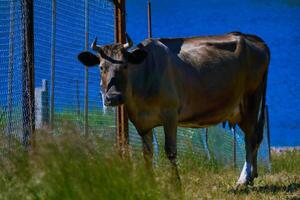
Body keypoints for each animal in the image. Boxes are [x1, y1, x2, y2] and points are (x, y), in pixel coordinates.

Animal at [77, 31, 270, 188]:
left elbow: (170, 151)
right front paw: (149, 182)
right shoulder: (140, 121)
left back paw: (243, 180)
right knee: (254, 136)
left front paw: (176, 184)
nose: (113, 97)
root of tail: (252, 38)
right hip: (238, 110)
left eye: (125, 65)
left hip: (251, 98)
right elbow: (147, 154)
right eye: (101, 67)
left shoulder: (170, 114)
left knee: (251, 138)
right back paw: (252, 176)